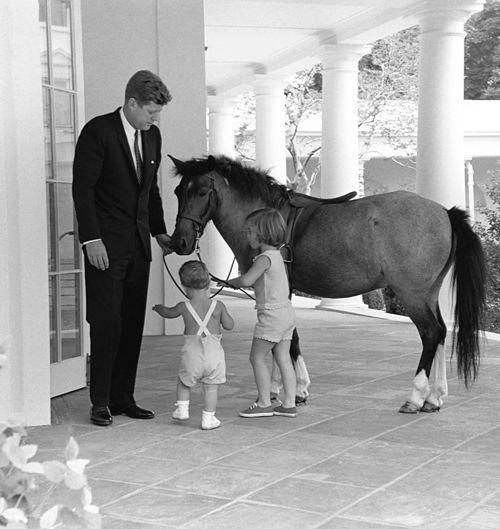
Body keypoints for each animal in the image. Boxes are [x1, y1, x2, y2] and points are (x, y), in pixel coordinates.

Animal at [167, 153, 484, 412]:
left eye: (202, 191)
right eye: (178, 191)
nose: (180, 241)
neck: (267, 217)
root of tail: (444, 212)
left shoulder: (274, 290)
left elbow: (285, 338)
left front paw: (291, 390)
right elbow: (284, 337)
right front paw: (287, 388)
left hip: (412, 294)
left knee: (430, 333)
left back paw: (416, 397)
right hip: (428, 292)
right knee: (441, 332)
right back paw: (435, 397)